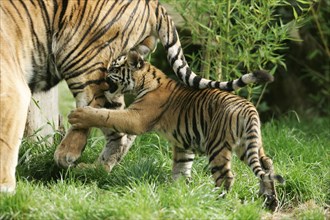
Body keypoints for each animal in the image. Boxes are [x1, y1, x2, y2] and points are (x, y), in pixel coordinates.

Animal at [68, 51, 282, 211]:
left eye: (113, 68)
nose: (101, 77)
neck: (145, 81)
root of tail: (249, 109)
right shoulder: (183, 144)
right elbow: (181, 169)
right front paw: (176, 194)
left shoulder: (135, 118)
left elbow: (107, 115)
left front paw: (79, 115)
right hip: (248, 145)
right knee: (266, 164)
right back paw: (270, 200)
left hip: (217, 146)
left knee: (226, 176)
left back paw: (215, 201)